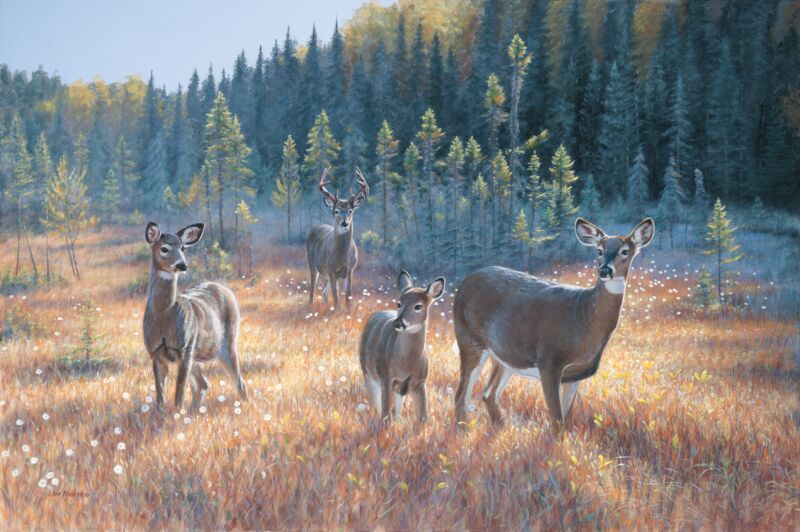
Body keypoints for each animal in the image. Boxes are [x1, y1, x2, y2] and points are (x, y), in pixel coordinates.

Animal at [143, 221, 247, 413]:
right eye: (164, 248)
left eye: (183, 247)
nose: (182, 265)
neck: (163, 318)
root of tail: (223, 287)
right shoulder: (154, 352)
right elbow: (160, 394)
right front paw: (162, 414)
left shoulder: (185, 349)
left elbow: (179, 392)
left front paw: (177, 414)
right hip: (197, 356)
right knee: (203, 384)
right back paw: (195, 410)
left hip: (226, 344)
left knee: (239, 382)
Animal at [306, 166, 369, 310]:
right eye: (336, 211)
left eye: (351, 210)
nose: (344, 223)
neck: (342, 258)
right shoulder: (331, 270)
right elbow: (336, 296)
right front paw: (337, 311)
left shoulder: (350, 270)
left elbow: (348, 295)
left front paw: (347, 310)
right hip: (313, 264)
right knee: (312, 288)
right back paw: (310, 305)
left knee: (324, 291)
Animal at [359, 271, 446, 425]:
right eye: (398, 303)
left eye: (418, 306)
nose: (398, 323)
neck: (406, 363)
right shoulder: (386, 376)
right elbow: (385, 411)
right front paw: (385, 427)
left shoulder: (420, 381)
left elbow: (423, 416)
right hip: (367, 371)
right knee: (376, 403)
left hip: (399, 388)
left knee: (396, 408)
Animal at [453, 217, 655, 431]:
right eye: (599, 250)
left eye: (625, 251)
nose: (605, 270)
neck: (584, 318)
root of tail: (465, 282)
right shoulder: (549, 361)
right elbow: (557, 421)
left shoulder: (576, 374)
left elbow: (566, 419)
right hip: (469, 339)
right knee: (461, 395)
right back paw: (464, 430)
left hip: (505, 356)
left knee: (488, 394)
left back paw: (501, 428)